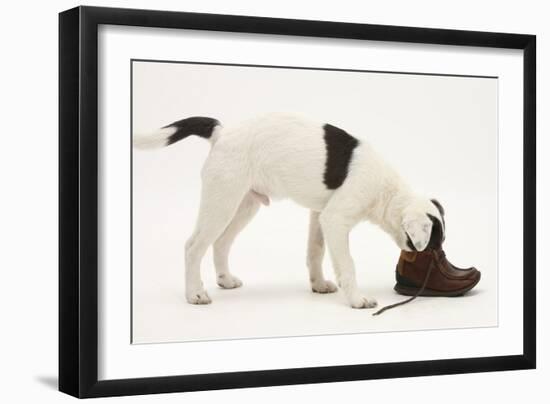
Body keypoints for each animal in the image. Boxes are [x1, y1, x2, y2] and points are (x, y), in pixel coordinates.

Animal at [135, 113, 448, 310]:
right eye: (434, 244)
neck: (387, 191)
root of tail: (222, 133)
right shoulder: (335, 220)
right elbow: (347, 264)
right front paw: (357, 300)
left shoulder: (319, 215)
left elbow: (315, 252)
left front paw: (318, 284)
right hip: (221, 201)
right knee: (193, 246)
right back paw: (195, 293)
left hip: (243, 205)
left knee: (221, 242)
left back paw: (225, 280)